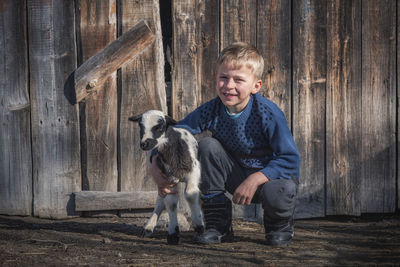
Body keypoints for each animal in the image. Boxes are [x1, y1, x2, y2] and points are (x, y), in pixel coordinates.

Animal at [129, 109, 203, 245]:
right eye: (140, 126)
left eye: (159, 127)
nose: (144, 144)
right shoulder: (167, 178)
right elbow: (171, 203)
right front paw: (173, 234)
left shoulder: (194, 170)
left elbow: (191, 194)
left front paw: (199, 225)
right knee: (160, 200)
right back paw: (149, 227)